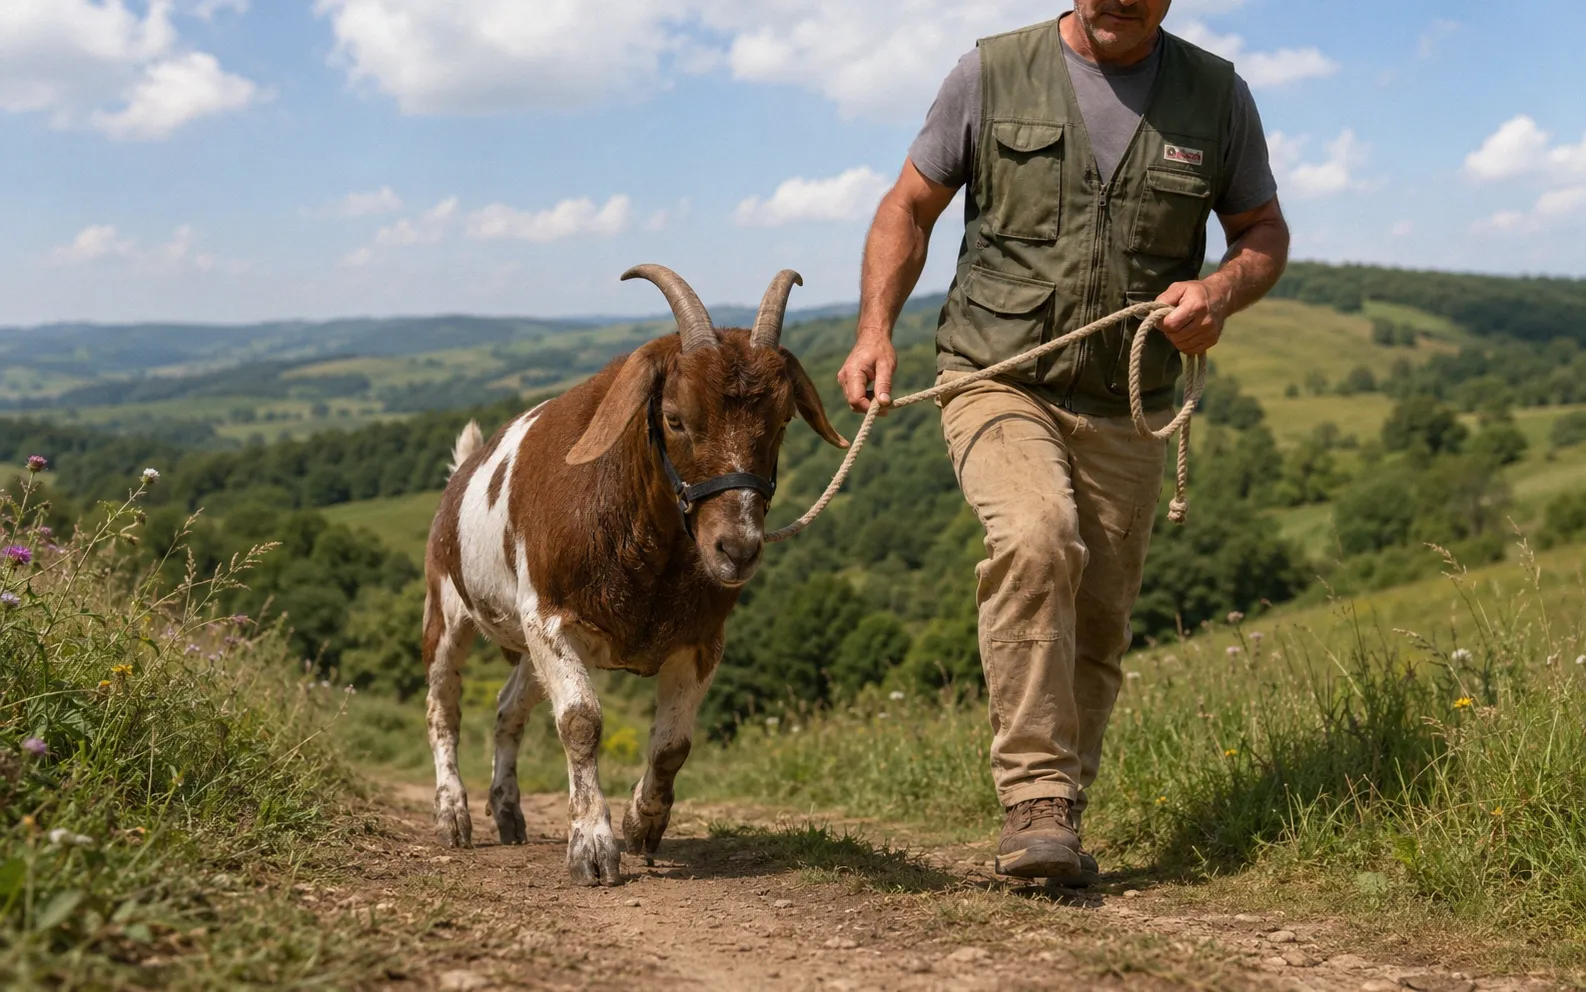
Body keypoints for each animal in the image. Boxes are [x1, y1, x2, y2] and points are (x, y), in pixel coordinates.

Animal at [422, 265, 846, 886]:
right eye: (674, 417)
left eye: (783, 420)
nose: (737, 548)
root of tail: (460, 475)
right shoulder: (550, 618)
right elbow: (580, 722)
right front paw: (593, 848)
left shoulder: (701, 638)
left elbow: (673, 744)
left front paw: (642, 825)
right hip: (446, 608)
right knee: (444, 704)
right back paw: (453, 816)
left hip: (524, 644)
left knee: (508, 708)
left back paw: (507, 811)